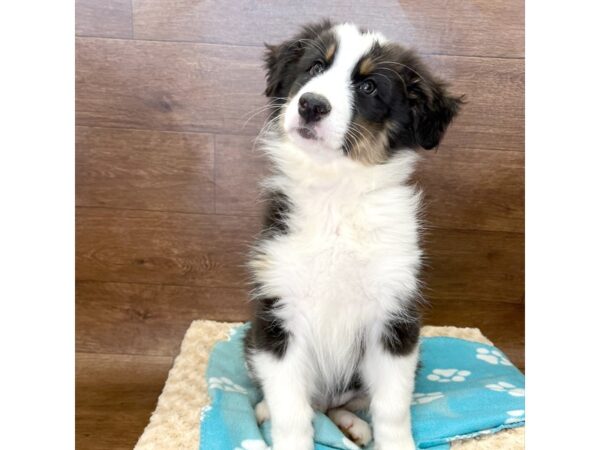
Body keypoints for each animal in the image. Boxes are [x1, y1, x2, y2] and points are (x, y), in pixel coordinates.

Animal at [241, 20, 462, 450]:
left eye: (369, 87)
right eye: (314, 67)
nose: (311, 105)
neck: (336, 193)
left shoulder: (394, 318)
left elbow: (392, 407)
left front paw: (396, 443)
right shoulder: (278, 315)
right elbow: (290, 409)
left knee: (344, 403)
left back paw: (354, 427)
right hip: (253, 340)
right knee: (305, 402)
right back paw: (264, 411)